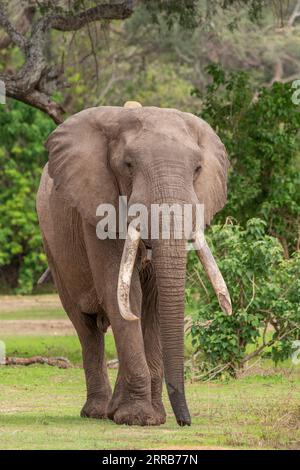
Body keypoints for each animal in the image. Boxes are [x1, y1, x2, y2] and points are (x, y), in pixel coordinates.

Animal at [36, 102, 231, 426]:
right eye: (128, 165)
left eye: (197, 169)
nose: (185, 421)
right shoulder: (99, 204)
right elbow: (123, 294)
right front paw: (140, 418)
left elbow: (152, 301)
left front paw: (153, 417)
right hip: (53, 246)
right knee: (85, 325)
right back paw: (98, 412)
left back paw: (114, 411)